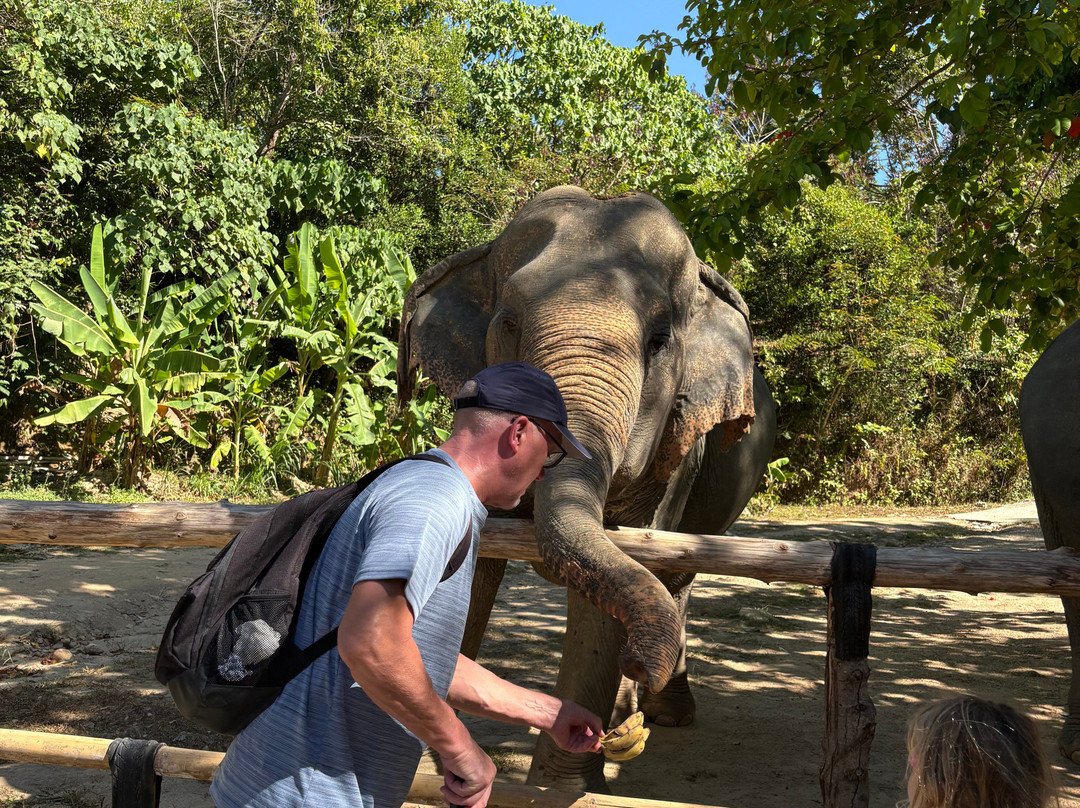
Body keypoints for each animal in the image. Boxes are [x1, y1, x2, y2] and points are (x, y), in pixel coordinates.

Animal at [396, 185, 777, 790]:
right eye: (508, 322)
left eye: (659, 341)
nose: (639, 661)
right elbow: (476, 566)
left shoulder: (675, 458)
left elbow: (617, 575)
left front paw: (560, 787)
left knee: (674, 579)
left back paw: (656, 716)